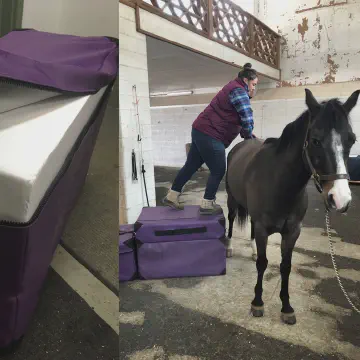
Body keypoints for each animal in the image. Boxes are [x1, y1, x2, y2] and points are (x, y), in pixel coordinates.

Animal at [226, 88, 358, 324]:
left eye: (351, 140)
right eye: (315, 141)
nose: (340, 199)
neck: (280, 183)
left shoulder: (292, 231)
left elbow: (285, 266)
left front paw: (286, 307)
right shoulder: (263, 229)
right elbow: (263, 263)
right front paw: (257, 303)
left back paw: (251, 249)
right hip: (232, 201)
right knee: (231, 220)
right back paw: (230, 247)